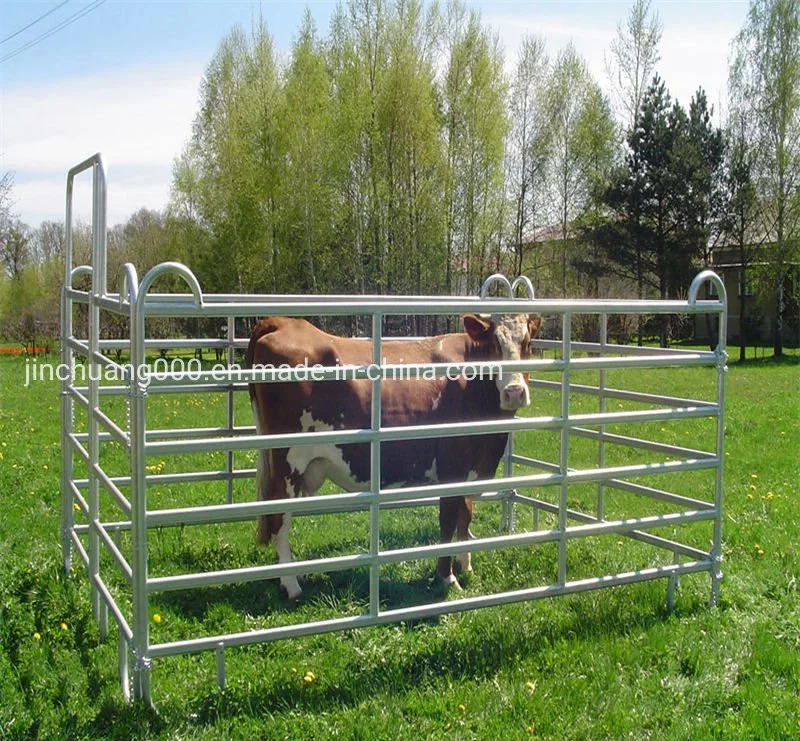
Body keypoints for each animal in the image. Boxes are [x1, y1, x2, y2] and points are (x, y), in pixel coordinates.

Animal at [247, 310, 540, 600]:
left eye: (527, 343)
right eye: (493, 344)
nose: (514, 393)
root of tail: (284, 322)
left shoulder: (470, 469)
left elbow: (464, 516)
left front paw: (466, 566)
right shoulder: (452, 467)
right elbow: (447, 520)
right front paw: (447, 577)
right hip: (288, 461)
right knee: (279, 517)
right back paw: (291, 585)